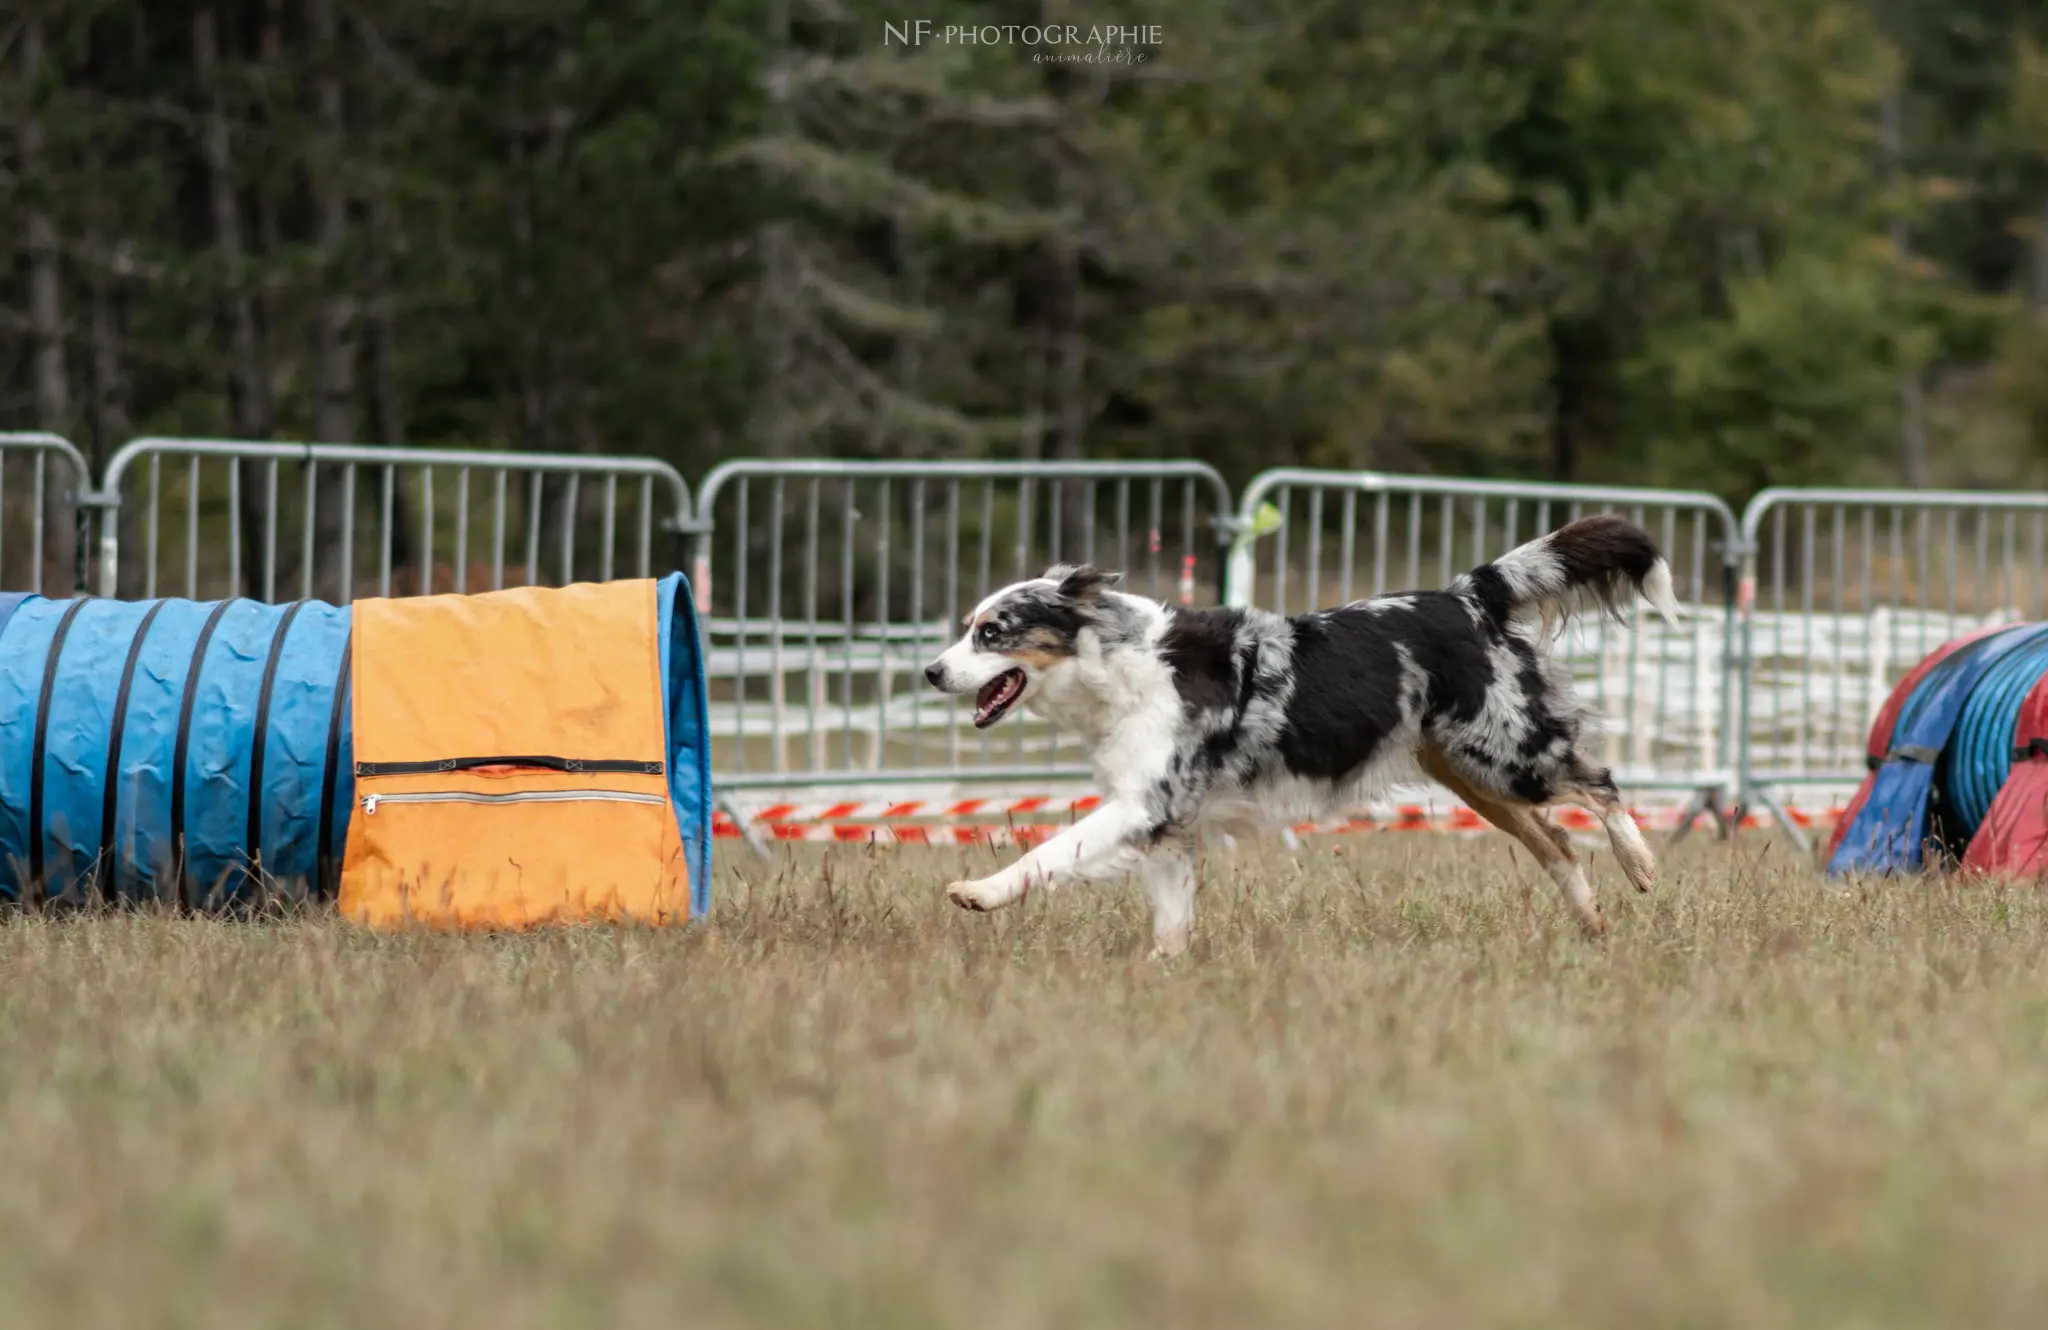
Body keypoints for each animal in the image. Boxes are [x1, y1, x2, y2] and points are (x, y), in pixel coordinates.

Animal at [925, 510, 1679, 954]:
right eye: (967, 628)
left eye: (992, 632)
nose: (932, 671)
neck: (1117, 662)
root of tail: (1467, 596)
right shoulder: (1169, 821)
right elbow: (1172, 914)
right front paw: (1164, 972)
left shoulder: (1146, 803)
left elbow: (1053, 850)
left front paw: (980, 893)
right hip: (1471, 777)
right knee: (1558, 843)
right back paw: (1593, 923)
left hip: (1506, 754)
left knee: (1599, 785)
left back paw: (1641, 865)